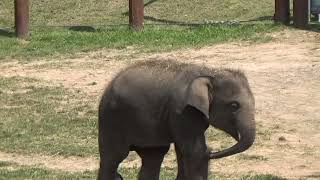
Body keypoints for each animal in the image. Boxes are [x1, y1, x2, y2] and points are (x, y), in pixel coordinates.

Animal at [97, 59, 255, 179]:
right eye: (234, 105)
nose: (211, 152)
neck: (208, 73)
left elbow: (184, 150)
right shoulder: (182, 111)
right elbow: (195, 151)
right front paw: (203, 151)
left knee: (153, 157)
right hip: (111, 120)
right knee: (113, 158)